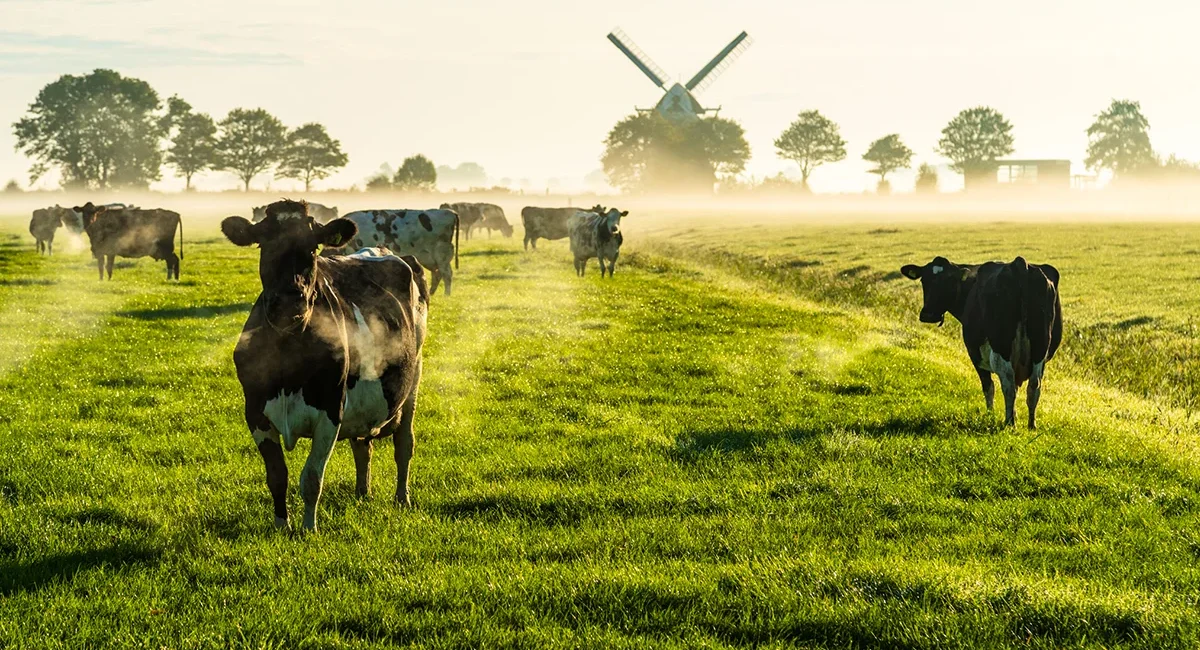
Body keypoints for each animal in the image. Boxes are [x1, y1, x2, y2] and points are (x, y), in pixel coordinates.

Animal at [222, 199, 429, 533]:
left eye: (312, 247)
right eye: (264, 243)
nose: (290, 299)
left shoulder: (331, 411)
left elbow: (311, 479)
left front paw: (309, 529)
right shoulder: (254, 412)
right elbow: (277, 477)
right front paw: (282, 527)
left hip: (414, 378)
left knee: (404, 444)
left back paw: (402, 498)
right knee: (363, 445)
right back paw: (362, 493)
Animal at [900, 256, 1062, 429]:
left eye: (948, 280)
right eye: (924, 280)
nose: (928, 315)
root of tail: (1019, 264)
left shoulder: (975, 354)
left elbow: (988, 386)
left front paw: (991, 417)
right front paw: (1014, 415)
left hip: (1001, 346)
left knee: (1008, 383)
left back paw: (1009, 423)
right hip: (1040, 348)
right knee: (1033, 386)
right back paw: (1031, 425)